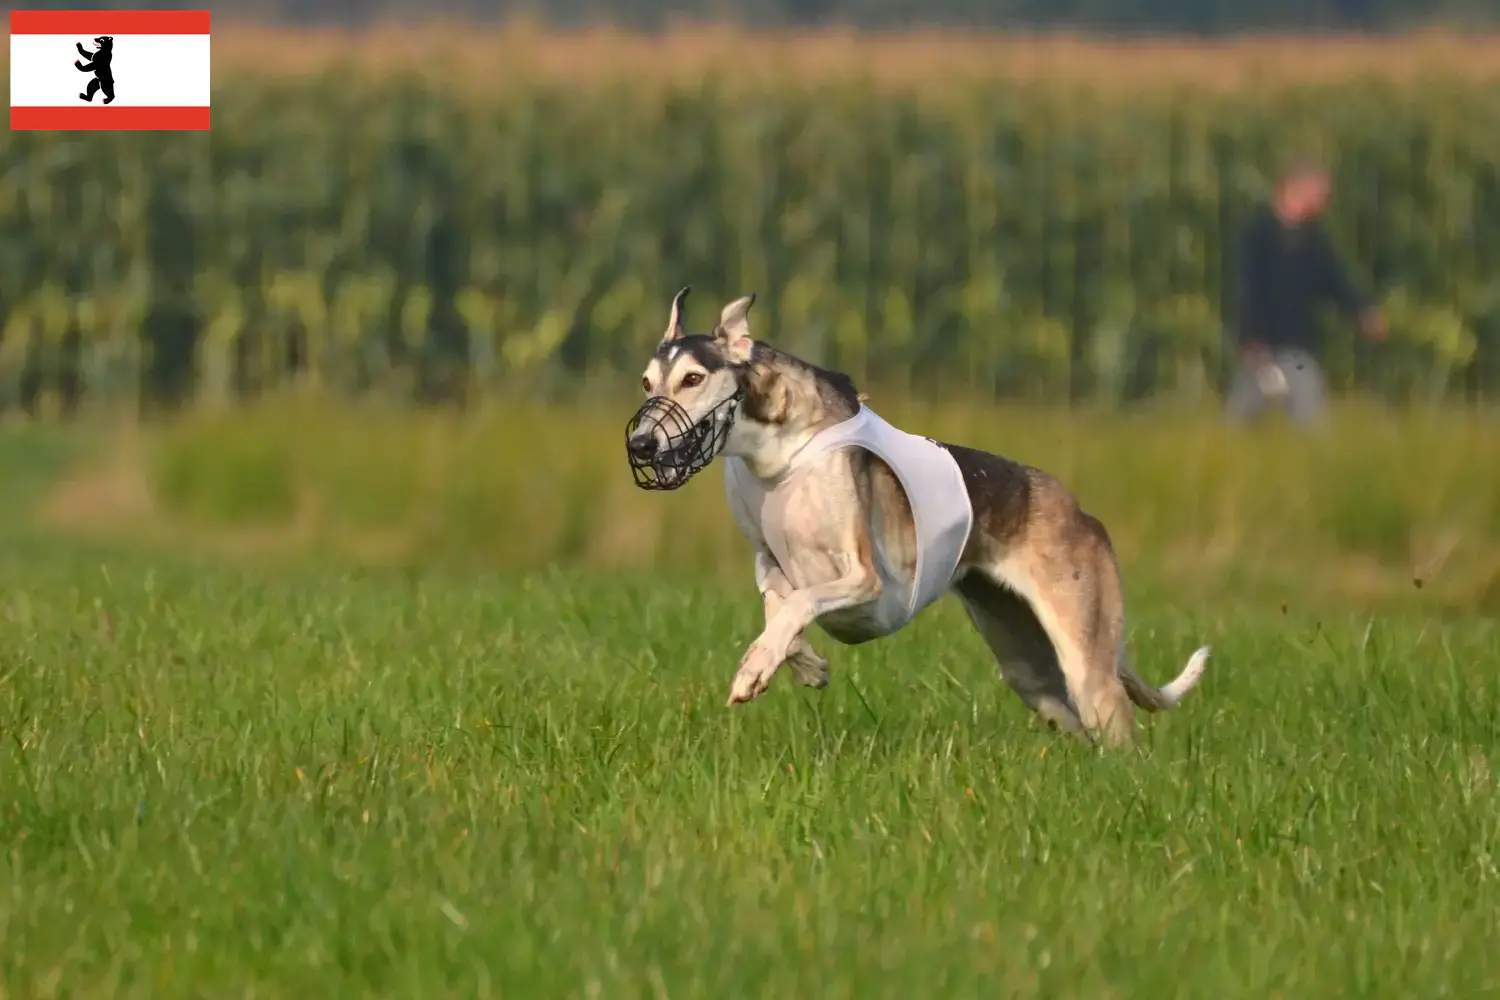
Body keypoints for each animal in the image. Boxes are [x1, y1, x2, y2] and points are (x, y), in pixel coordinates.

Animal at [627, 284, 1212, 746]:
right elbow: (780, 608)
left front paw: (754, 668)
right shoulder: (769, 561)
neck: (779, 452)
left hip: (1086, 660)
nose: (640, 444)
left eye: (693, 379)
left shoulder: (862, 577)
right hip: (1028, 666)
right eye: (647, 382)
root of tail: (1080, 511)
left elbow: (801, 604)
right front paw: (802, 664)